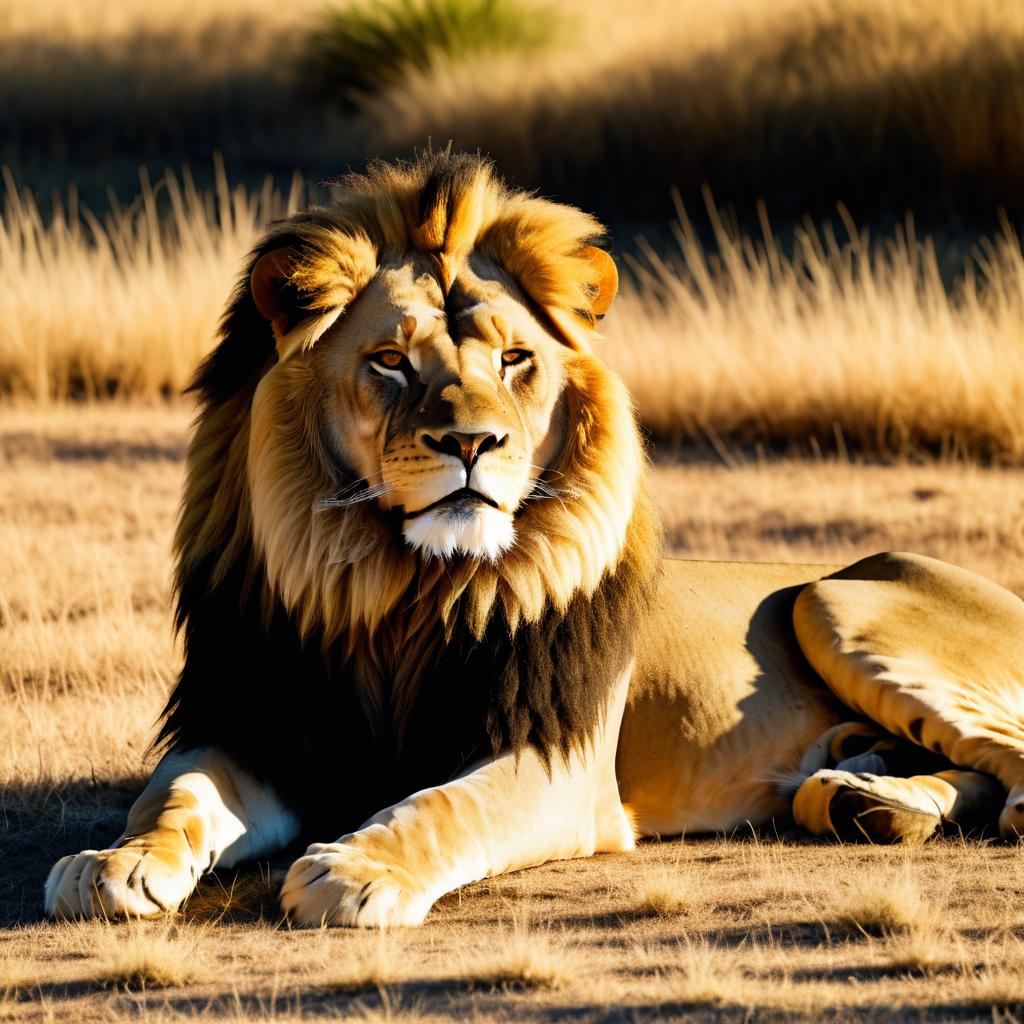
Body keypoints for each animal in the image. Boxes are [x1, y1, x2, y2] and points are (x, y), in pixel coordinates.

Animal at [44, 151, 1024, 929]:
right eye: (390, 361)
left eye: (515, 360)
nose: (473, 442)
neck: (395, 587)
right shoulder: (257, 726)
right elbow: (174, 795)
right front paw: (115, 863)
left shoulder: (558, 760)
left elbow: (444, 807)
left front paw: (354, 868)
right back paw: (866, 800)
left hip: (833, 598)